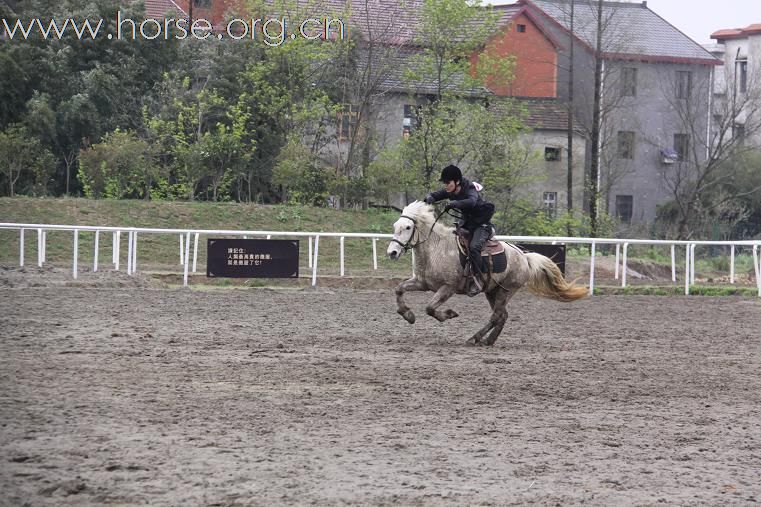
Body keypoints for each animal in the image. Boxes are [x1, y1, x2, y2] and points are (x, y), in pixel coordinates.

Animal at [386, 200, 588, 348]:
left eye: (408, 228)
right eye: (395, 225)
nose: (392, 253)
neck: (436, 248)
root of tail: (524, 257)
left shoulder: (448, 287)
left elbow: (429, 308)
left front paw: (449, 314)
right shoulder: (421, 283)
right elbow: (399, 289)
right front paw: (408, 315)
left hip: (506, 290)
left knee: (496, 316)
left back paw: (475, 338)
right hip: (492, 291)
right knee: (502, 316)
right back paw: (488, 340)